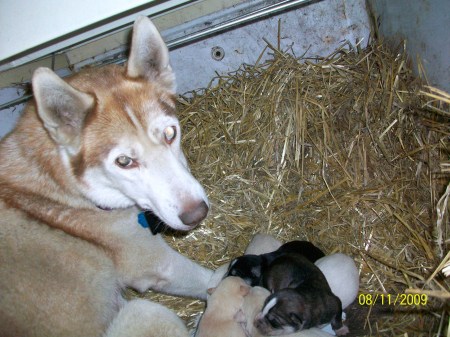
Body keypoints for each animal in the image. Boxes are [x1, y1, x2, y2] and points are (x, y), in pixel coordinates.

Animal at [0, 16, 213, 336]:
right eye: (124, 161)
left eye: (170, 133)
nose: (196, 214)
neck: (68, 192)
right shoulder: (156, 264)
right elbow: (216, 279)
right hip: (148, 311)